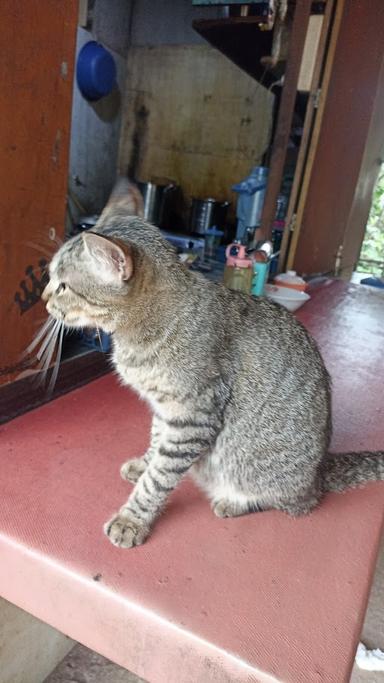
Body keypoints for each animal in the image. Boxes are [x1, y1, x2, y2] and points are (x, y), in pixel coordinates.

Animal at [42, 179, 384, 548]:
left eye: (63, 286)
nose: (44, 298)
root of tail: (321, 470)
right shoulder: (165, 408)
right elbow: (156, 444)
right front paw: (143, 465)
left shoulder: (194, 416)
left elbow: (159, 477)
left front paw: (132, 519)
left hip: (266, 472)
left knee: (296, 503)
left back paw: (233, 502)